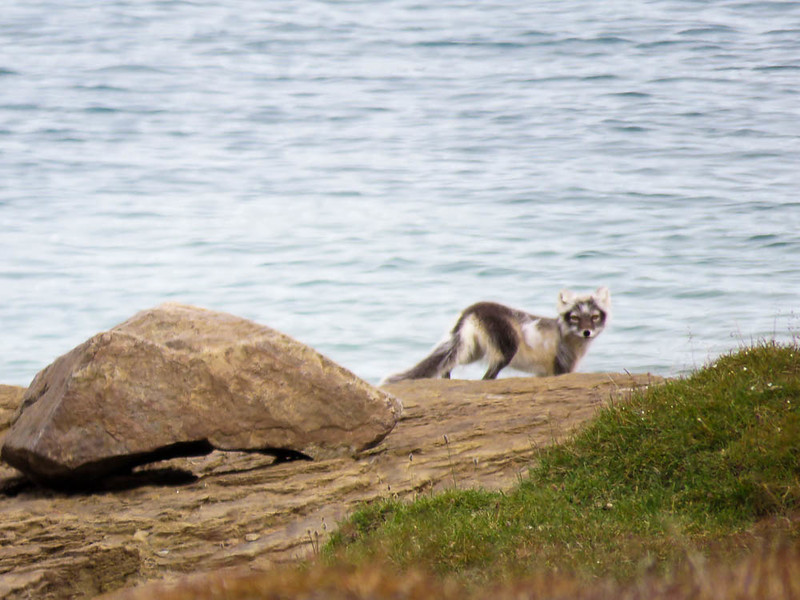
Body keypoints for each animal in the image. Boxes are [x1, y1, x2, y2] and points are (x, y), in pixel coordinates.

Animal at [382, 288, 612, 384]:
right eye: (575, 318)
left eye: (594, 317)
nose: (587, 332)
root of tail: (471, 310)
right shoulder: (562, 367)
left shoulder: (543, 373)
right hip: (506, 348)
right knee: (486, 376)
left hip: (470, 350)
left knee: (447, 363)